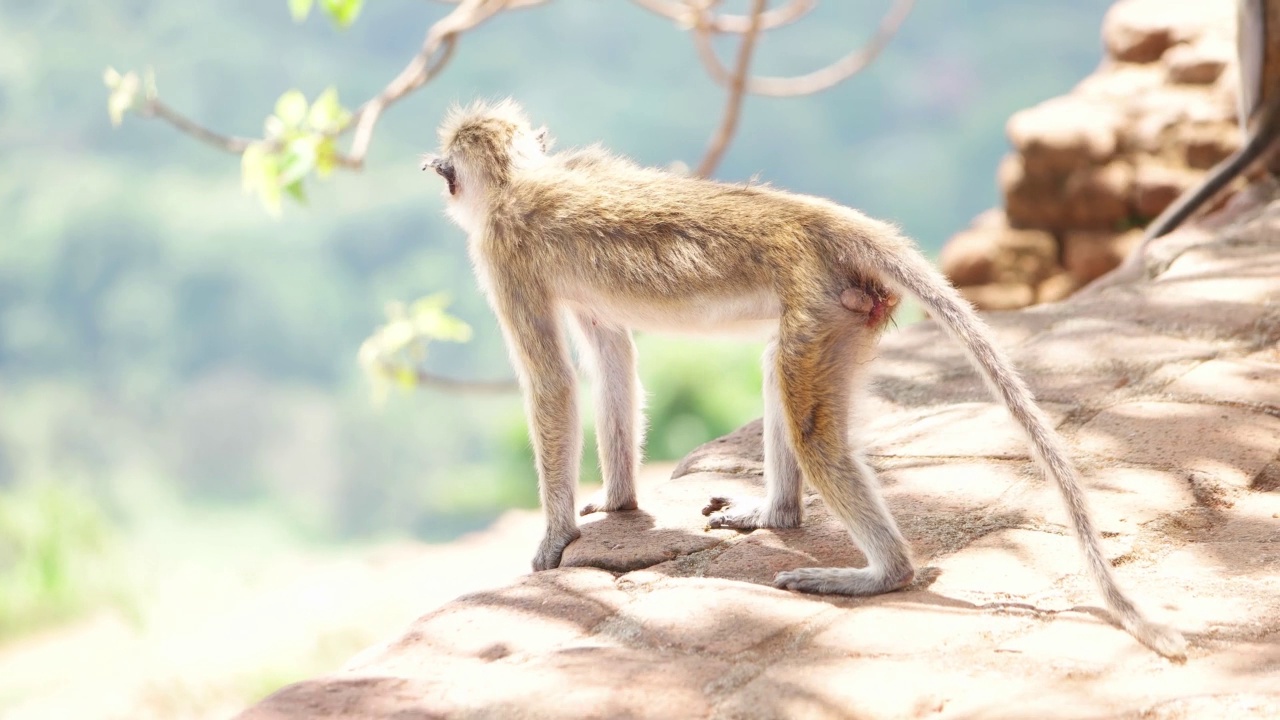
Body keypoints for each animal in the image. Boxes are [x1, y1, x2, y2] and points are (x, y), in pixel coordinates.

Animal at [422, 98, 1187, 661]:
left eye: (446, 170)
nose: (434, 171)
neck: (524, 179)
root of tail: (818, 217)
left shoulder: (502, 252)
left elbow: (552, 385)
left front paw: (555, 536)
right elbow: (613, 359)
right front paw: (618, 502)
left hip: (820, 303)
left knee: (814, 431)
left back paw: (881, 574)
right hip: (842, 316)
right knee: (780, 375)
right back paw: (778, 516)